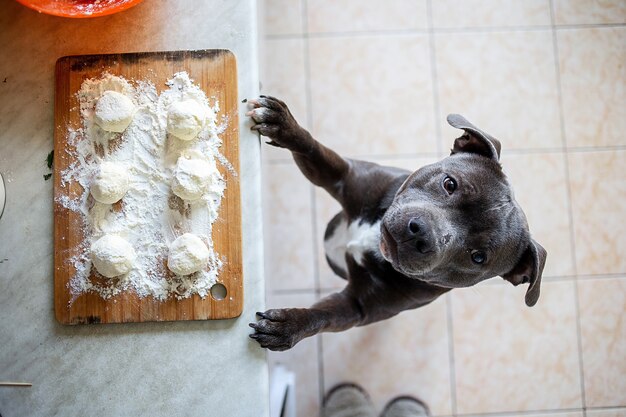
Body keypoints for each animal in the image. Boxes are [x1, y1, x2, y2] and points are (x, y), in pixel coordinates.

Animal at [246, 95, 544, 352]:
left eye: (478, 257)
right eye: (449, 184)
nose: (421, 235)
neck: (374, 241)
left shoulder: (357, 307)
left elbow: (322, 316)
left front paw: (288, 326)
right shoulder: (344, 176)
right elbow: (314, 150)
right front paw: (283, 124)